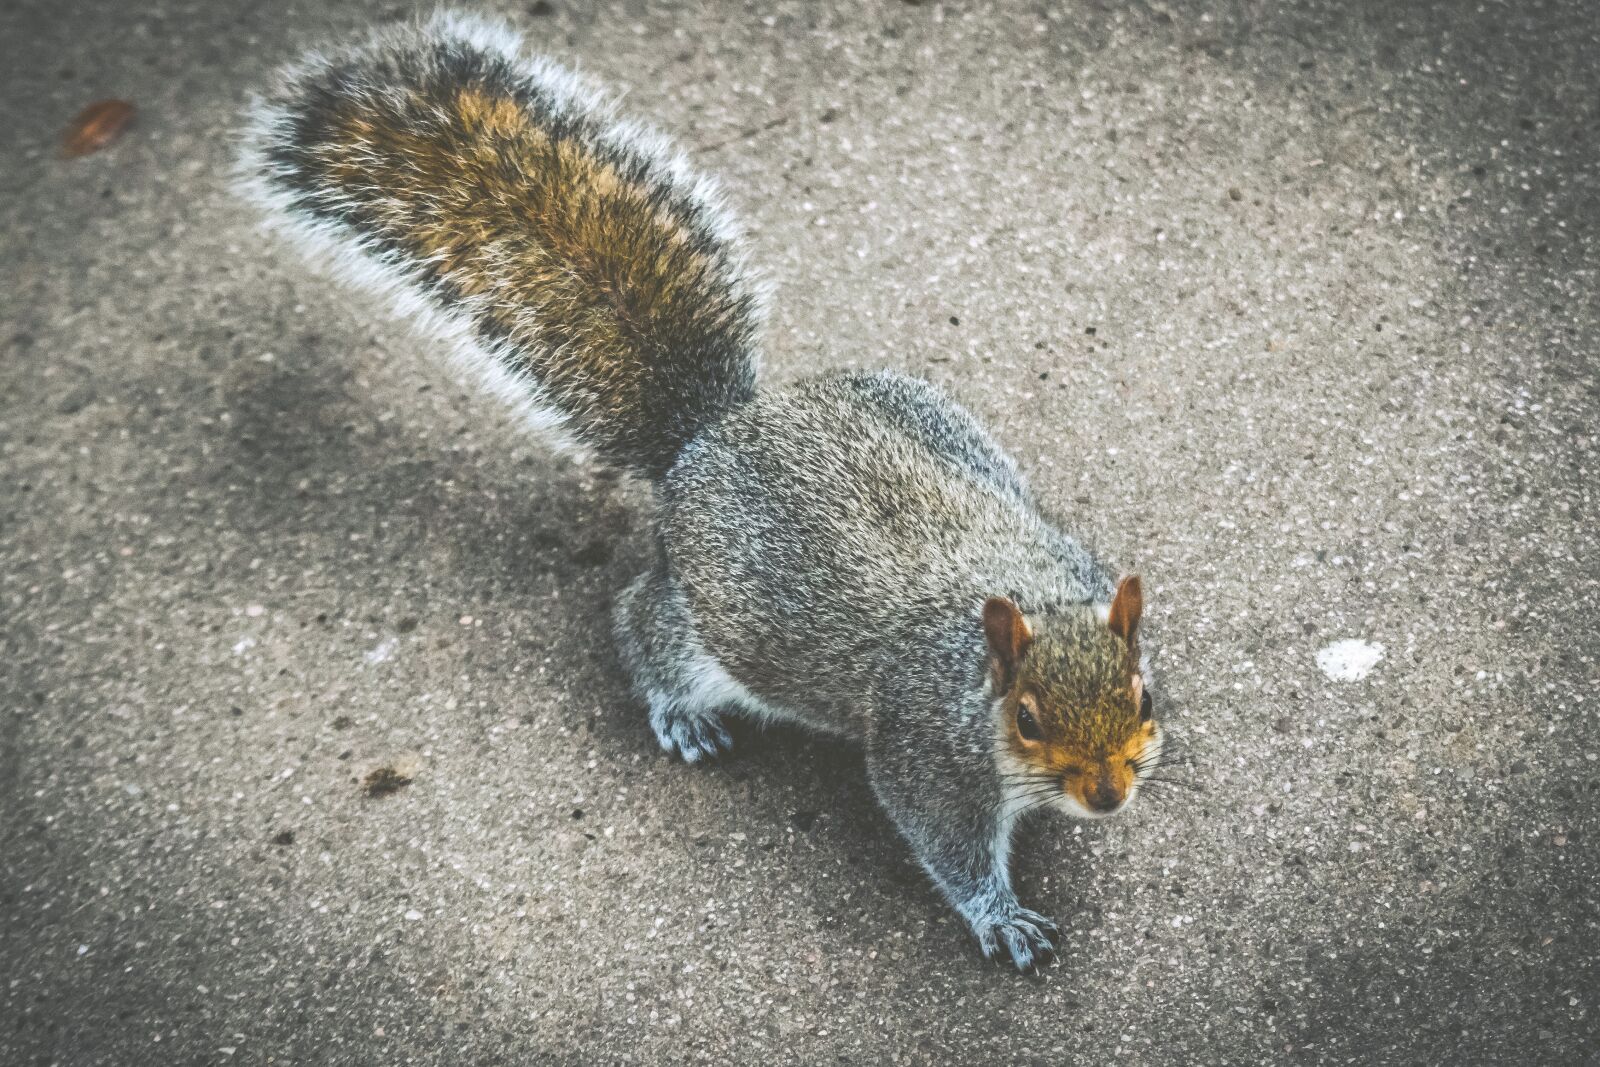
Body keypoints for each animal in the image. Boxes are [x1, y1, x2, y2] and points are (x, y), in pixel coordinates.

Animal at [238, 10, 1167, 974]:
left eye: (1144, 698)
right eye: (1026, 718)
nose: (1107, 795)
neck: (1005, 628)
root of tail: (712, 433)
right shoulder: (925, 752)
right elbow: (949, 845)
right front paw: (1000, 916)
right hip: (700, 627)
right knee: (640, 622)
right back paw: (678, 709)